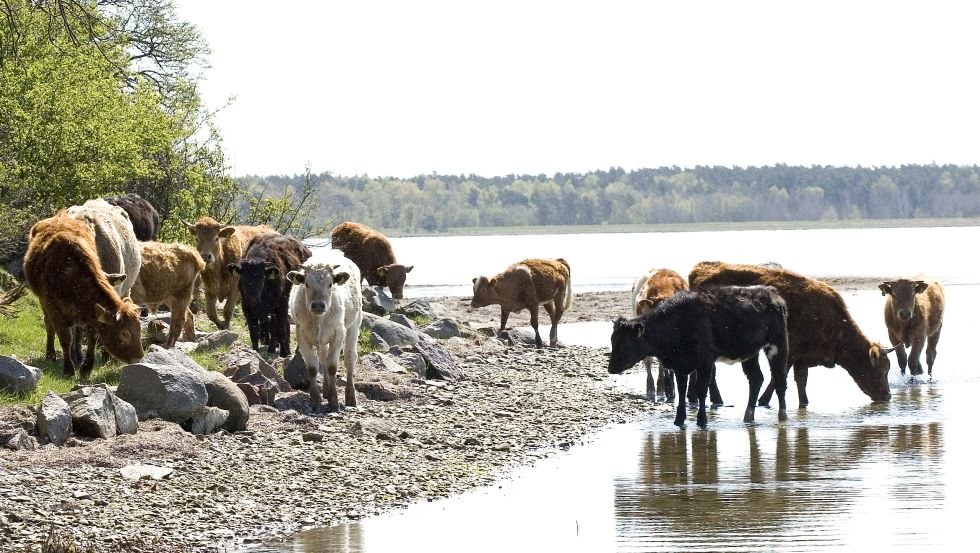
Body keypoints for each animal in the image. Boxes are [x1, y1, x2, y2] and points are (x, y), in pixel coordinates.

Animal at [23, 213, 144, 378]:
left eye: (139, 329)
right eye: (125, 334)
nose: (139, 358)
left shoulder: (90, 313)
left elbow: (92, 337)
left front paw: (86, 367)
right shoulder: (53, 308)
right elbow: (65, 338)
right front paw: (69, 369)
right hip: (43, 302)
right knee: (49, 325)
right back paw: (52, 354)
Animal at [287, 254, 363, 412]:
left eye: (330, 284)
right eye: (307, 284)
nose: (318, 305)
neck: (318, 319)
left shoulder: (338, 333)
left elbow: (332, 366)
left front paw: (334, 402)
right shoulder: (301, 335)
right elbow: (312, 368)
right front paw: (315, 400)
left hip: (354, 324)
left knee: (349, 359)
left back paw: (350, 397)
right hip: (322, 341)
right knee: (323, 357)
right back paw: (326, 391)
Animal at [609, 285, 790, 428]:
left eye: (624, 343)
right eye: (612, 340)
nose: (610, 369)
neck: (677, 323)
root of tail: (772, 293)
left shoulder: (705, 361)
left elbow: (701, 390)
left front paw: (702, 421)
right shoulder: (680, 366)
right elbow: (682, 391)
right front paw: (679, 420)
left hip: (778, 344)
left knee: (780, 379)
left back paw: (782, 417)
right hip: (750, 353)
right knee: (756, 379)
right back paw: (748, 416)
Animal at [689, 261, 893, 407]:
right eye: (880, 370)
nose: (887, 396)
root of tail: (701, 267)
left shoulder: (803, 359)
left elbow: (801, 382)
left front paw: (804, 403)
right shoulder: (790, 353)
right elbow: (779, 377)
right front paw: (763, 401)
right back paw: (716, 400)